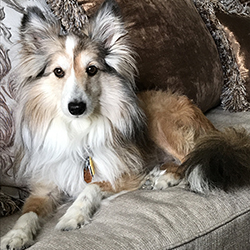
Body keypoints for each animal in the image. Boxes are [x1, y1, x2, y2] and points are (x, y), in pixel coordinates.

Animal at [1, 0, 250, 249]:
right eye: (58, 72)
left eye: (91, 69)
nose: (76, 107)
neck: (78, 130)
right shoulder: (45, 187)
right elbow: (27, 212)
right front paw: (15, 235)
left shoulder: (125, 174)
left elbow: (90, 186)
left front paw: (73, 215)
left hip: (160, 122)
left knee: (190, 159)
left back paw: (164, 178)